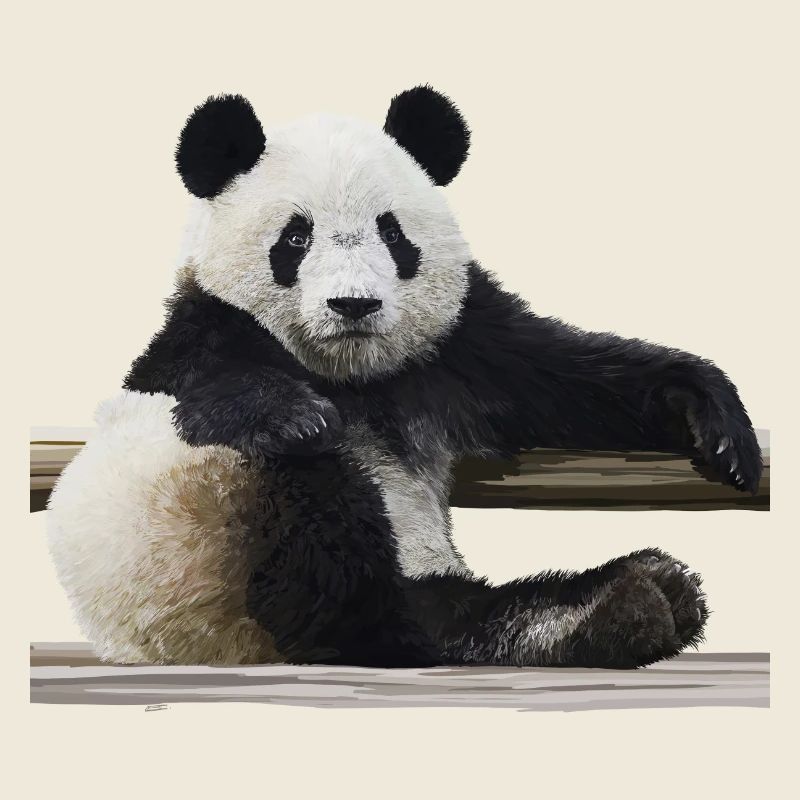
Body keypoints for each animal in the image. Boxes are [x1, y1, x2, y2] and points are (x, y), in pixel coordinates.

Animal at [47, 87, 762, 669]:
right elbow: (213, 391)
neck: (353, 376)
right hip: (207, 531)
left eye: (391, 233)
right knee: (340, 569)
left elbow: (575, 378)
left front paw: (715, 422)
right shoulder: (203, 338)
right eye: (295, 238)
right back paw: (602, 608)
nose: (354, 305)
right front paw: (297, 416)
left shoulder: (460, 350)